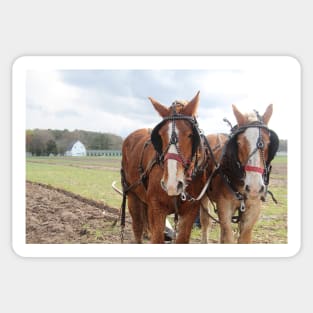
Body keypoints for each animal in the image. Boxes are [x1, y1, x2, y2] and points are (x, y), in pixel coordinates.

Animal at [120, 91, 211, 243]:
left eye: (190, 134)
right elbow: (157, 238)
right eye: (161, 135)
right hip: (132, 194)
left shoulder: (191, 211)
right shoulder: (157, 209)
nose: (172, 184)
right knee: (137, 227)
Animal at [200, 103, 278, 243]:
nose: (254, 188)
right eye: (239, 142)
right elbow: (228, 237)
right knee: (205, 219)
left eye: (268, 143)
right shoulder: (224, 207)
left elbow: (243, 238)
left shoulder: (253, 209)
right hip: (203, 195)